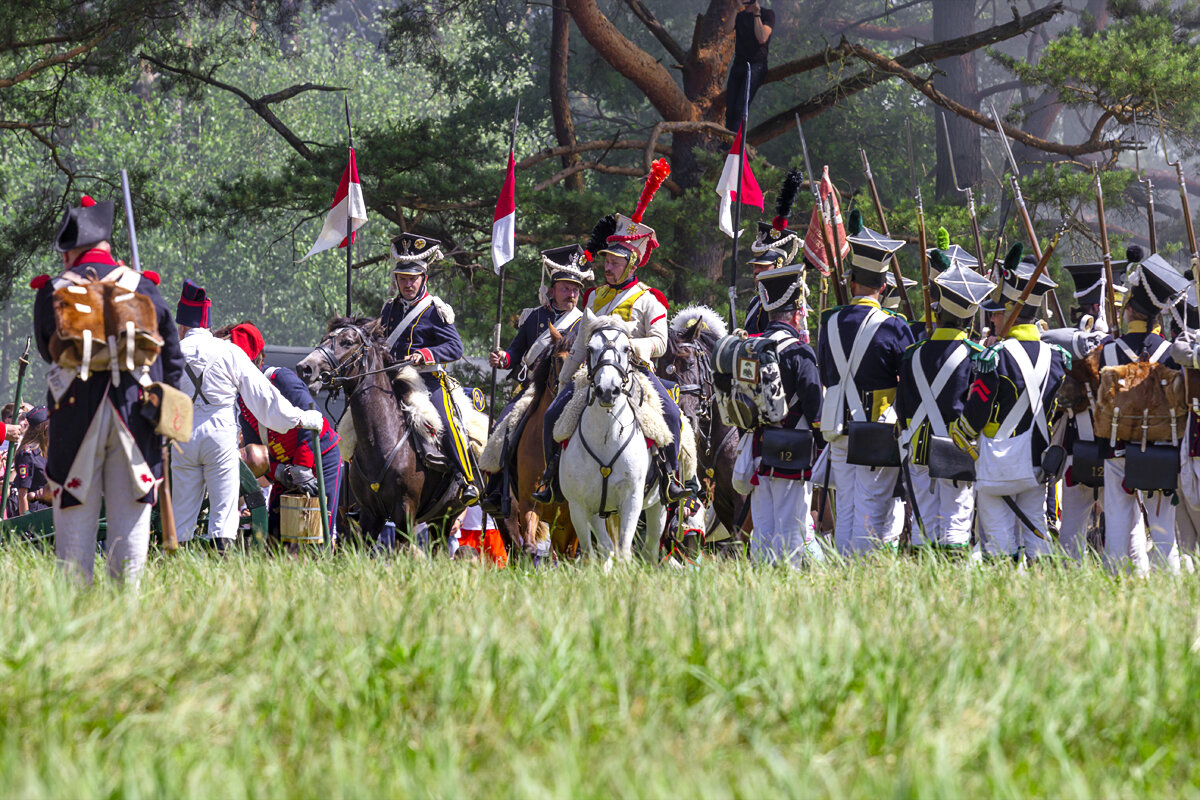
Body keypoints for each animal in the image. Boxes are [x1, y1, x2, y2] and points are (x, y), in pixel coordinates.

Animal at [296, 316, 468, 546]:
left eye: (348, 342)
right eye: (324, 338)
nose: (305, 368)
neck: (381, 441)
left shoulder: (405, 513)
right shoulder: (370, 514)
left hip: (447, 516)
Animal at [559, 319, 667, 563]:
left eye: (627, 349)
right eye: (590, 349)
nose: (608, 391)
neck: (606, 437)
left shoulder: (632, 499)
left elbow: (625, 549)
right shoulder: (579, 506)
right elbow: (590, 553)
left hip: (658, 506)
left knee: (650, 548)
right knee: (606, 546)